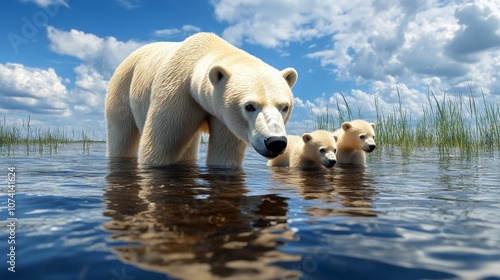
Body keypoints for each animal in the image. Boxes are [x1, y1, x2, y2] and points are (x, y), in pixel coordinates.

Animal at [105, 32, 296, 166]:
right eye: (250, 106)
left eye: (284, 107)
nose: (276, 142)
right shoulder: (177, 95)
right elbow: (160, 145)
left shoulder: (225, 116)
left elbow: (224, 153)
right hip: (122, 86)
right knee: (121, 133)